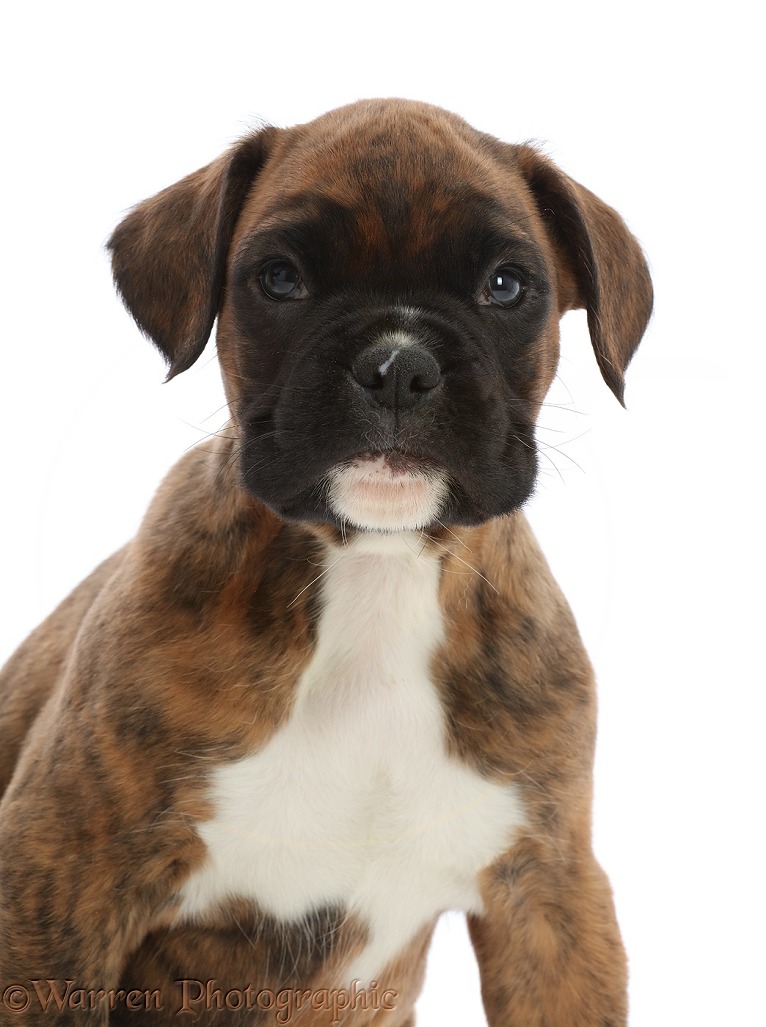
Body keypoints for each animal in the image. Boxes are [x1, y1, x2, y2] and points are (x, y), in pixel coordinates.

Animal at [0, 98, 648, 1027]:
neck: (377, 573)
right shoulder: (60, 877)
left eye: (505, 285)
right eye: (280, 279)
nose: (399, 364)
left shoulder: (552, 899)